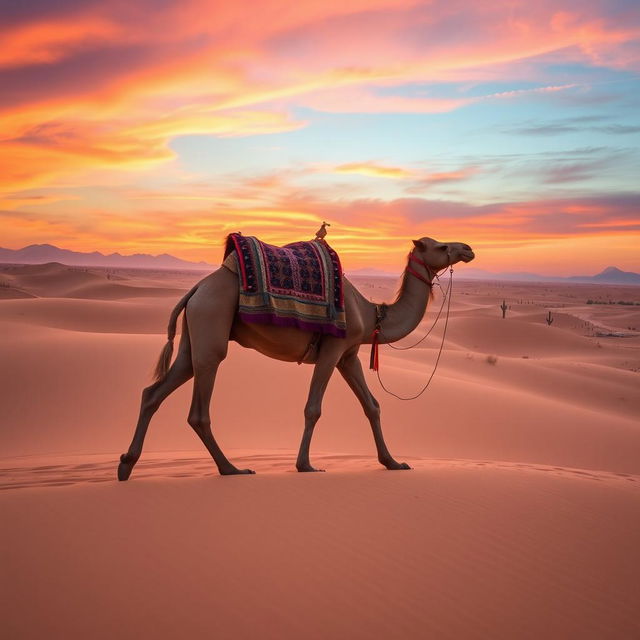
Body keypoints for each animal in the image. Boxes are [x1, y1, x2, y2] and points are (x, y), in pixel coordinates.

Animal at [116, 236, 476, 480]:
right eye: (441, 246)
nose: (468, 249)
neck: (369, 313)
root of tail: (195, 290)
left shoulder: (349, 356)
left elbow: (372, 406)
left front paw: (393, 462)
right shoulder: (332, 350)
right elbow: (313, 408)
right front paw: (305, 465)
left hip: (194, 340)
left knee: (154, 392)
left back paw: (126, 465)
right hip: (211, 323)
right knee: (198, 411)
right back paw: (231, 469)